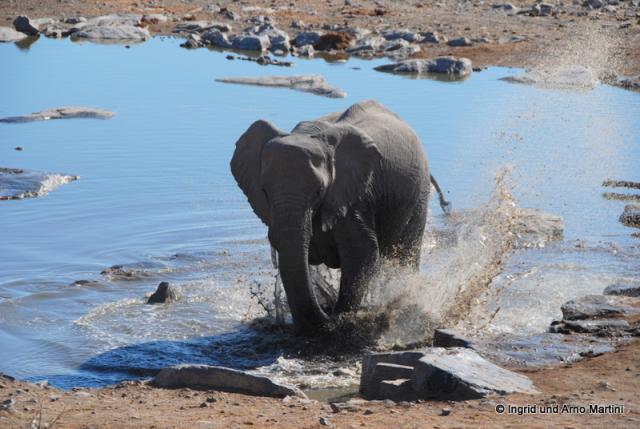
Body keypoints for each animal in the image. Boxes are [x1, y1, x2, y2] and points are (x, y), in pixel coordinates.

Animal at [231, 100, 450, 334]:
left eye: (319, 191)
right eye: (264, 191)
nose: (325, 314)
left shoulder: (353, 196)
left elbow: (362, 251)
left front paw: (339, 320)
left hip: (418, 193)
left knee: (404, 253)